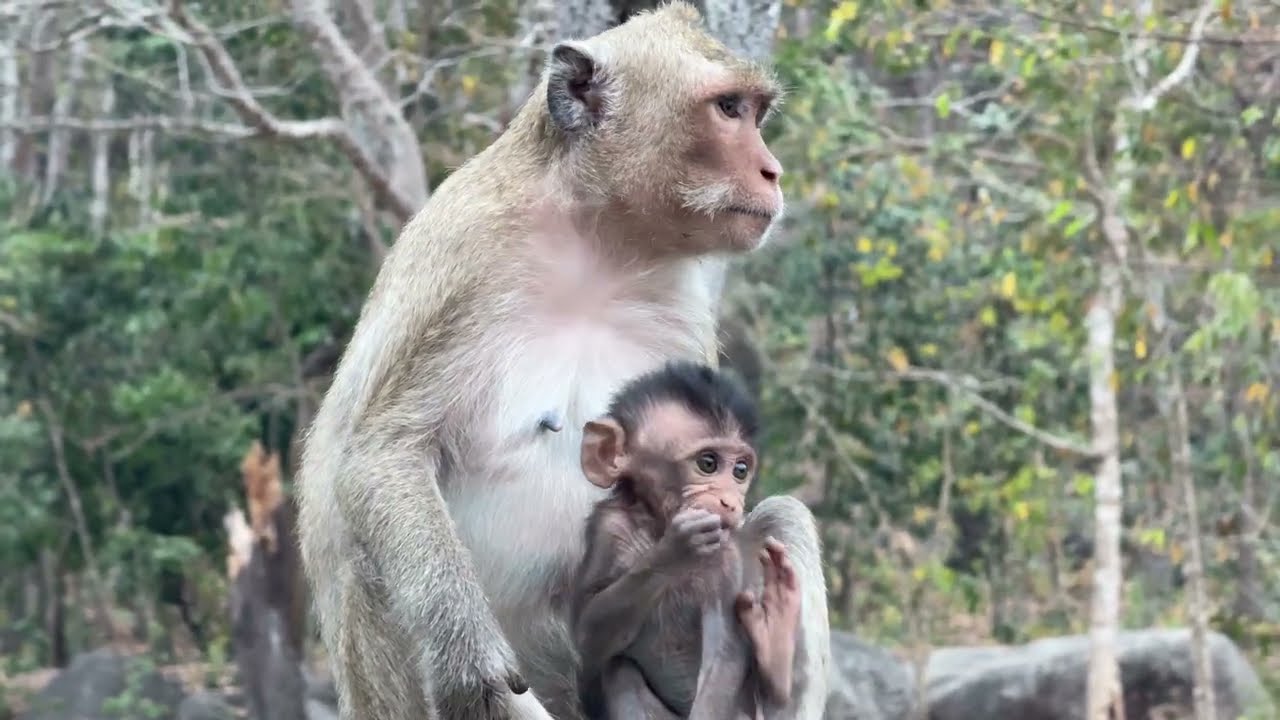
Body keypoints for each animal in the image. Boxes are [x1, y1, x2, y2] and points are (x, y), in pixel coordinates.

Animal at [570, 361, 806, 720]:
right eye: (708, 463)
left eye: (740, 470)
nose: (730, 502)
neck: (657, 524)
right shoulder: (608, 528)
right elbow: (589, 638)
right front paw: (674, 550)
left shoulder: (727, 555)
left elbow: (724, 653)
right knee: (619, 670)